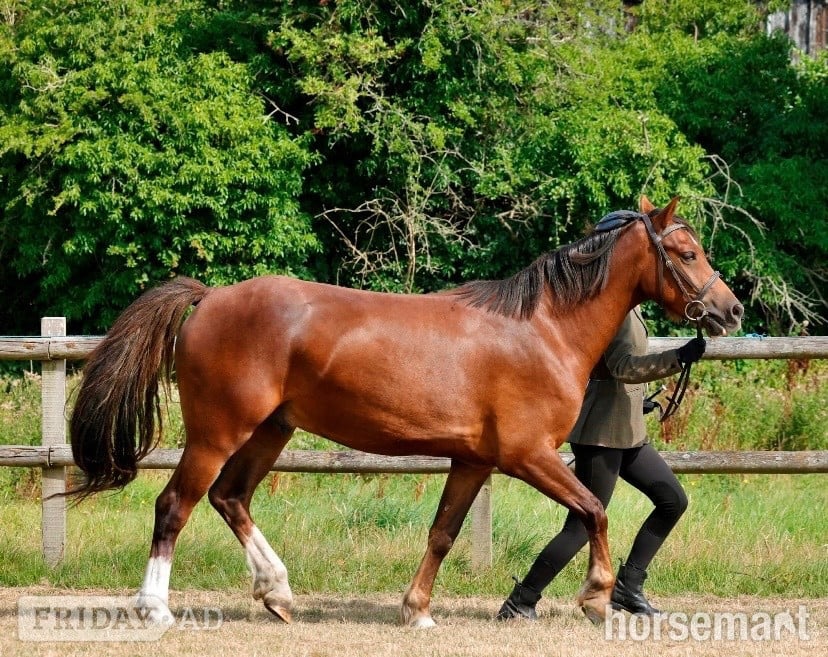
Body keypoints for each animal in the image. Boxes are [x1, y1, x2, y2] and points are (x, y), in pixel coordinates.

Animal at [68, 195, 743, 627]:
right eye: (687, 252)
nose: (730, 311)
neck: (542, 330)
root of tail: (209, 298)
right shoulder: (528, 455)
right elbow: (595, 510)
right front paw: (598, 596)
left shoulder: (474, 461)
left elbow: (443, 533)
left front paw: (416, 612)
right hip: (217, 431)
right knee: (174, 505)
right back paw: (155, 608)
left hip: (271, 430)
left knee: (230, 498)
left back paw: (278, 593)